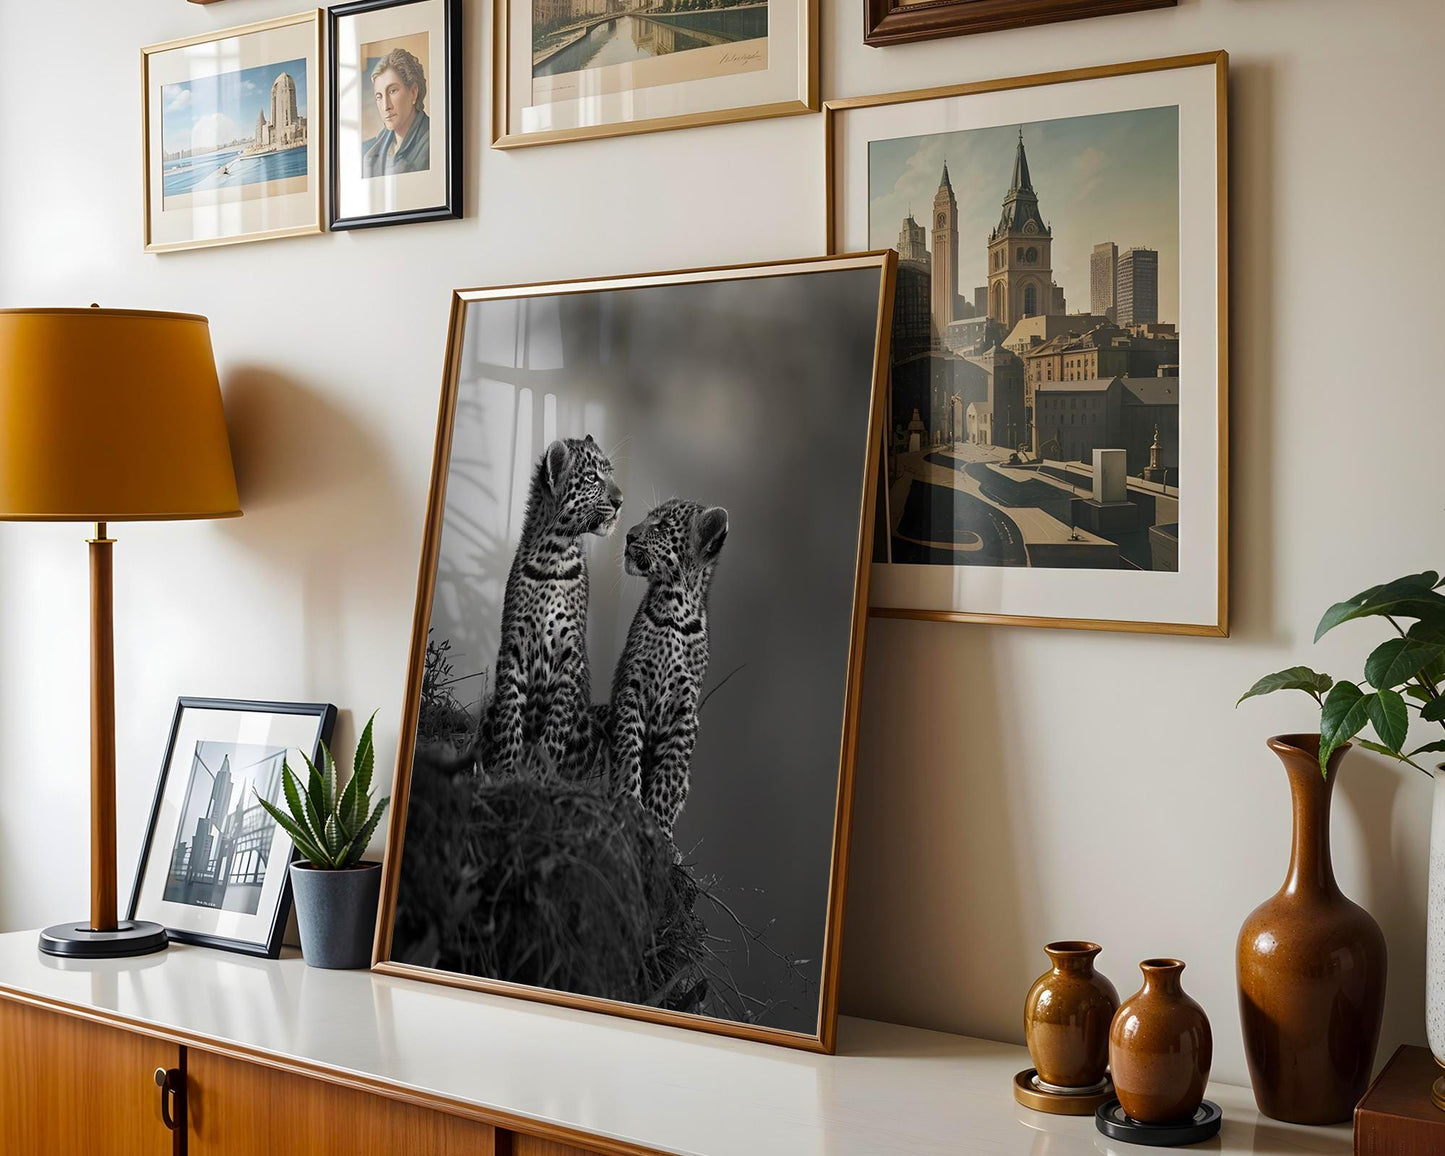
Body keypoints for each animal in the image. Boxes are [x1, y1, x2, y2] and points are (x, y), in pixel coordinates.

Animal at [483, 435, 622, 776]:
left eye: (610, 474)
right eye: (592, 478)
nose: (621, 500)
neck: (553, 554)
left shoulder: (570, 652)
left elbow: (557, 721)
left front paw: (541, 773)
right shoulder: (513, 646)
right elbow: (510, 715)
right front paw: (506, 773)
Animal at [607, 498, 729, 842]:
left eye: (661, 527)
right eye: (646, 519)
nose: (629, 536)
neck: (674, 609)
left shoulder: (684, 712)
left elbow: (669, 774)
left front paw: (659, 829)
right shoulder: (631, 687)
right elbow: (628, 749)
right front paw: (630, 803)